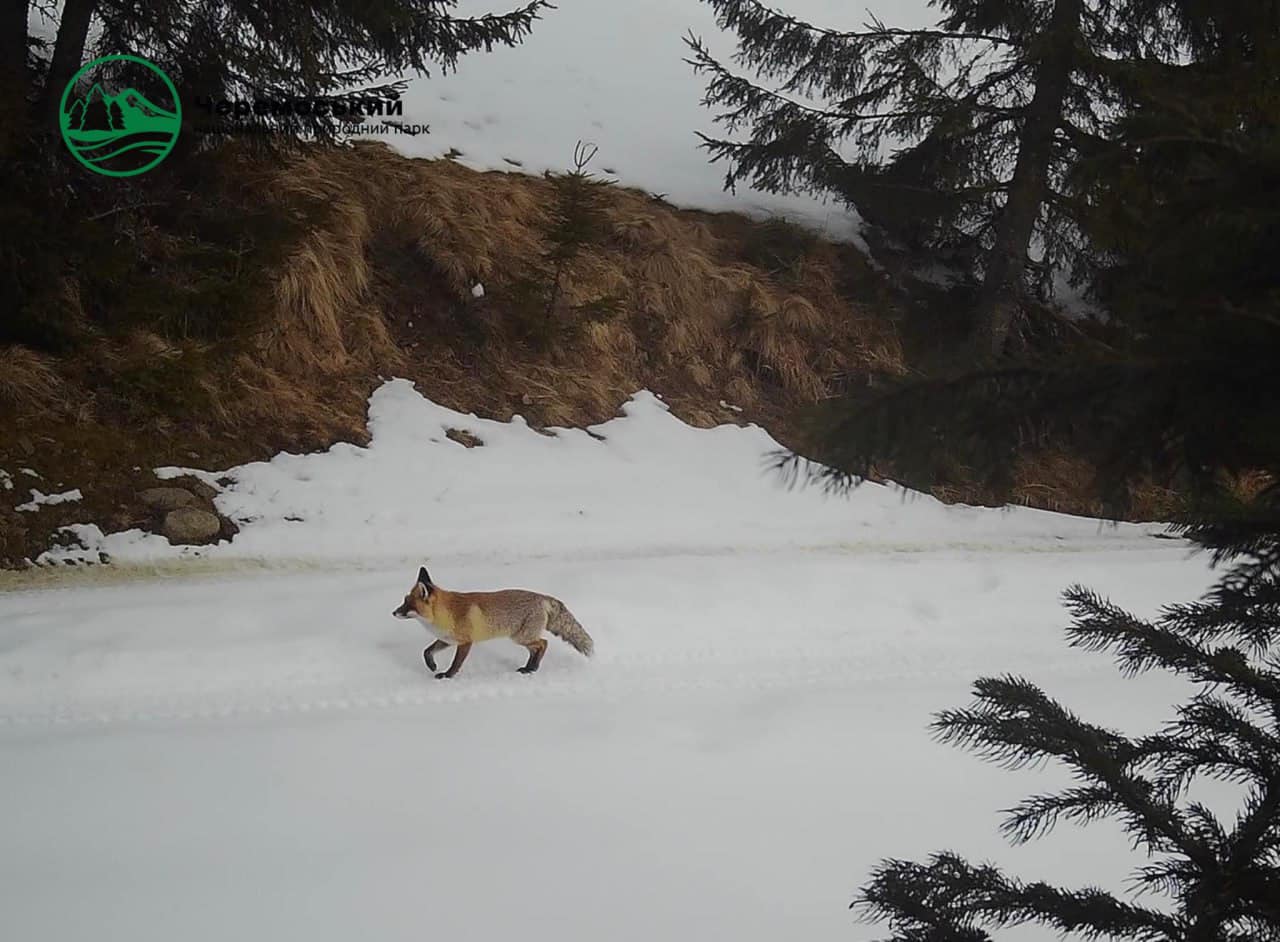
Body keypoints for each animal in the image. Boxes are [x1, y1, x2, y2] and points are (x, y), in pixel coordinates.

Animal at [389, 565, 593, 675]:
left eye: (408, 604)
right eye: (404, 601)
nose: (393, 612)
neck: (443, 615)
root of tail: (543, 597)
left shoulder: (465, 642)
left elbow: (456, 664)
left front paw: (447, 675)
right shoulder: (447, 640)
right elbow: (426, 651)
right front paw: (432, 666)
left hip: (521, 637)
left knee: (544, 644)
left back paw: (533, 668)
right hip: (522, 638)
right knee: (536, 648)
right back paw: (529, 667)